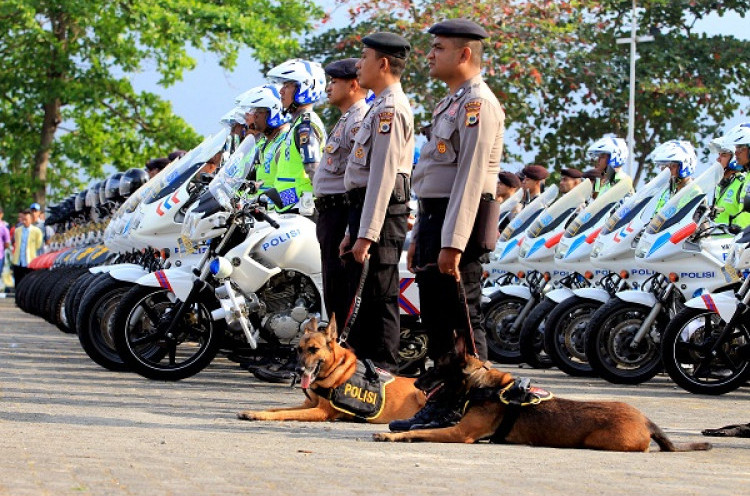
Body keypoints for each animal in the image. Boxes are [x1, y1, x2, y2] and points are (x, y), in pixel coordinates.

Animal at [238, 318, 426, 422]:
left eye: (314, 349)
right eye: (298, 350)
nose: (298, 370)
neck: (335, 370)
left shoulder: (320, 411)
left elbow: (282, 414)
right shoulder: (308, 405)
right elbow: (276, 409)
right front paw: (255, 413)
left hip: (420, 392)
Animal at [374, 350, 712, 452]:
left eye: (436, 369)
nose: (416, 382)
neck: (483, 386)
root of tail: (646, 420)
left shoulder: (461, 433)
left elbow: (422, 431)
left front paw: (390, 436)